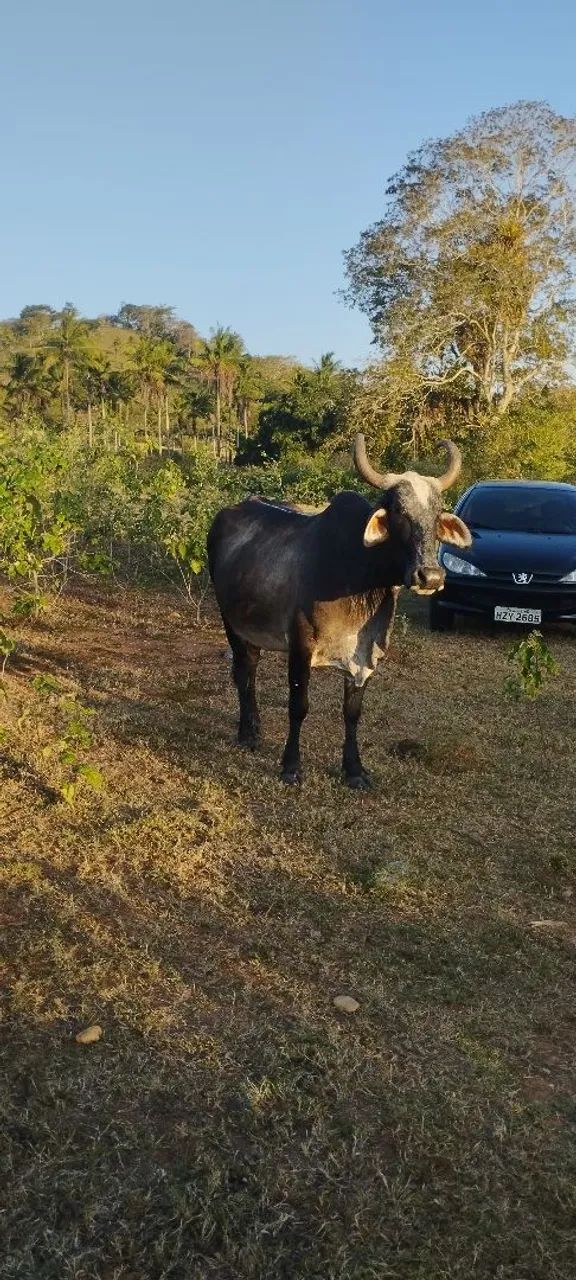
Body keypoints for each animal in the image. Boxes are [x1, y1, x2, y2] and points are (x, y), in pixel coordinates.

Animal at [207, 435, 472, 788]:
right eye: (399, 512)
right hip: (231, 622)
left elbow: (352, 712)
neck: (359, 573)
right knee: (243, 672)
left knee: (250, 669)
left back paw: (256, 728)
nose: (430, 576)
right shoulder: (300, 645)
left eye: (437, 513)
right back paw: (247, 734)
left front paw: (354, 770)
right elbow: (298, 706)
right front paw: (291, 766)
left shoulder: (365, 652)